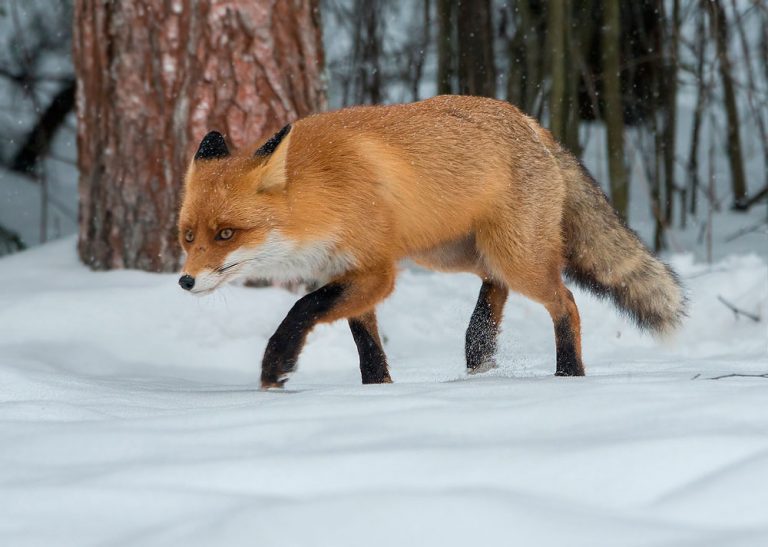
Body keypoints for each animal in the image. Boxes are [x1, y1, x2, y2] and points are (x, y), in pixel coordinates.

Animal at [178, 96, 684, 392]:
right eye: (188, 235)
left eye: (226, 234)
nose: (185, 281)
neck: (321, 196)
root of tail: (530, 121)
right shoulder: (345, 271)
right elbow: (367, 345)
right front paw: (379, 390)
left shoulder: (376, 271)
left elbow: (303, 308)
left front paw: (276, 362)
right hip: (453, 252)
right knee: (494, 284)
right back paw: (479, 347)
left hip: (515, 256)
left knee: (567, 302)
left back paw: (568, 375)